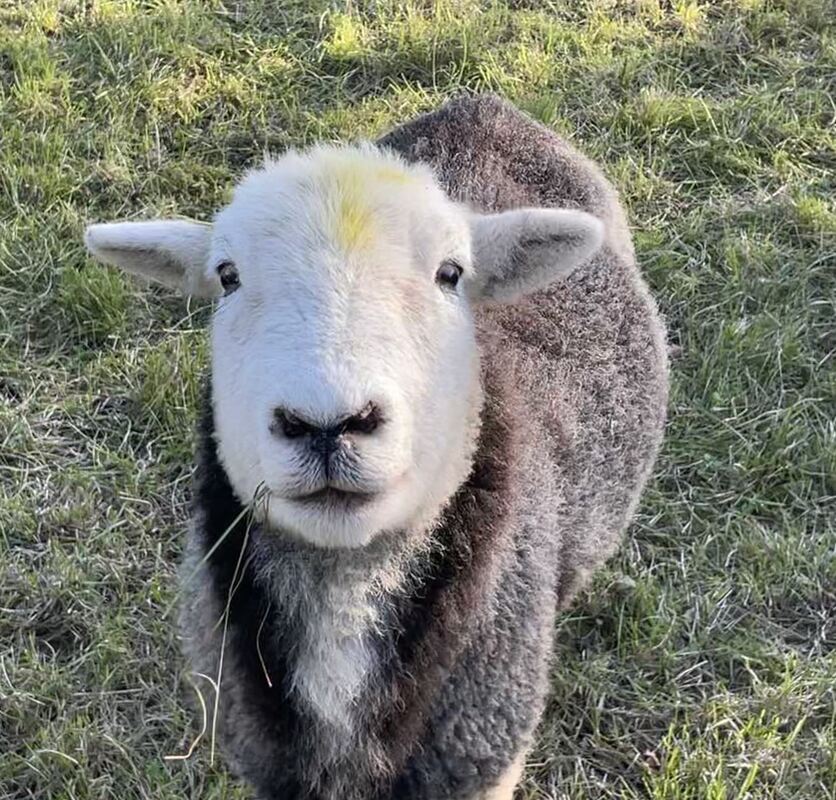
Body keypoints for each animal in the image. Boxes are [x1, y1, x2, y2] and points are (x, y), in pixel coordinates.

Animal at [83, 95, 668, 800]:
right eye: (227, 277)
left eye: (451, 274)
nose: (327, 423)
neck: (345, 592)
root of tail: (483, 106)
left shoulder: (484, 758)